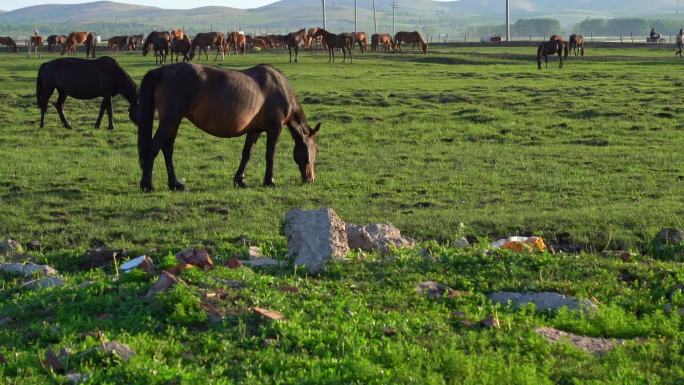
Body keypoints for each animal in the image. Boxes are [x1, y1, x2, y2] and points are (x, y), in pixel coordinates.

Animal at [139, 62, 324, 192]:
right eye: (316, 149)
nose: (310, 179)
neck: (280, 88)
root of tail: (162, 71)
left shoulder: (255, 130)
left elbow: (247, 154)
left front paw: (240, 180)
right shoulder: (275, 128)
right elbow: (270, 154)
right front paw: (269, 181)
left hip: (174, 122)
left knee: (167, 149)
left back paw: (175, 184)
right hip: (170, 121)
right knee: (154, 148)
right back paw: (147, 185)